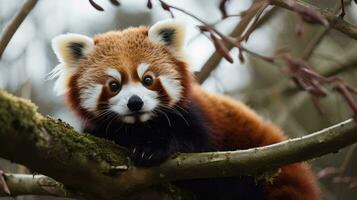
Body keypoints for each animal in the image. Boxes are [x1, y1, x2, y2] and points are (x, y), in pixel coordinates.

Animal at [50, 19, 320, 200]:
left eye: (148, 79)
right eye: (114, 86)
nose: (135, 102)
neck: (139, 127)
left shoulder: (197, 117)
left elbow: (196, 144)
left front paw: (152, 148)